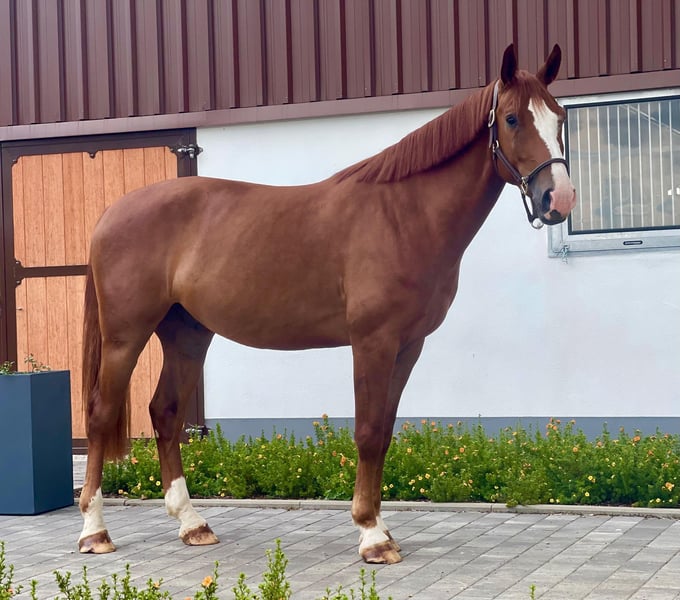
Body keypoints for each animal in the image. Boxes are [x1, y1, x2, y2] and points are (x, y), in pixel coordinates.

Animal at [78, 44, 576, 564]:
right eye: (513, 118)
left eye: (559, 117)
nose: (558, 198)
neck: (403, 215)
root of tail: (112, 213)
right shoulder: (373, 342)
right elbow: (368, 433)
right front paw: (372, 535)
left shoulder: (408, 346)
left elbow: (385, 432)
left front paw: (381, 527)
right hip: (125, 336)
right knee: (99, 415)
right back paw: (95, 531)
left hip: (186, 334)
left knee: (165, 413)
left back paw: (193, 524)